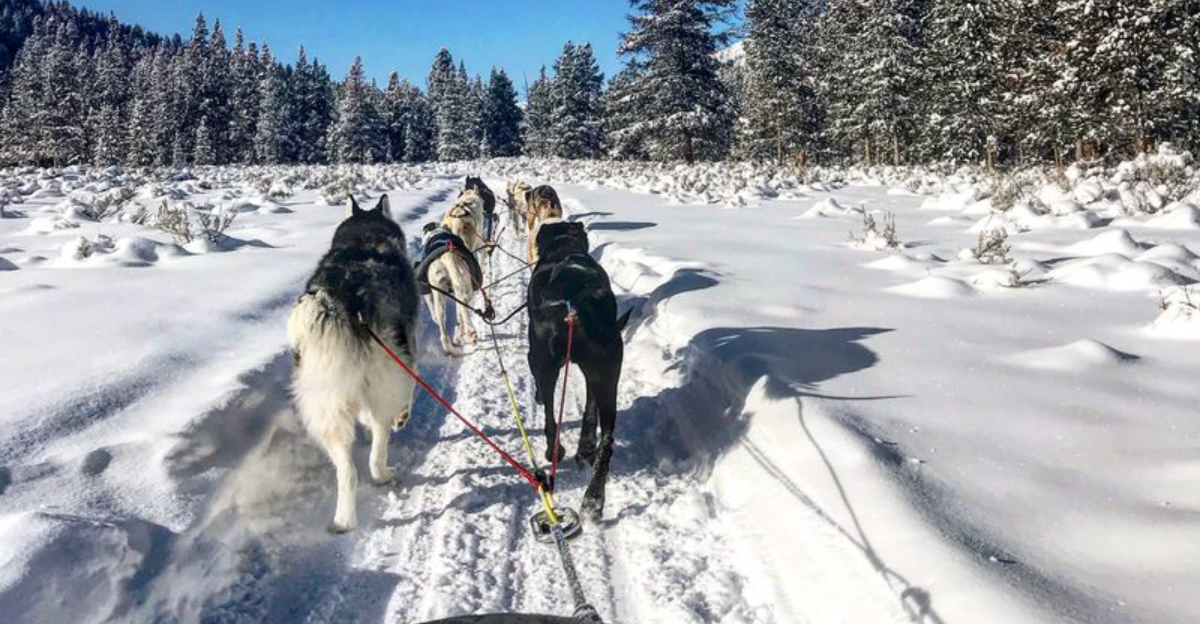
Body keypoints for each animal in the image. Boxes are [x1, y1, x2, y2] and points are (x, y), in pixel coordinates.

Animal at [287, 195, 418, 532]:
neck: (363, 238)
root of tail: (342, 298)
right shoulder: (408, 350)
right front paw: (402, 416)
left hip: (325, 406)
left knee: (347, 471)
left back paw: (343, 520)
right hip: (385, 378)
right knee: (377, 449)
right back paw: (383, 473)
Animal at [415, 222, 484, 354]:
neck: (436, 232)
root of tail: (447, 255)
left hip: (440, 297)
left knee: (444, 333)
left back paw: (452, 346)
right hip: (464, 287)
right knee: (461, 312)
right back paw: (467, 333)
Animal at [527, 220, 631, 519]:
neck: (565, 247)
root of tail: (576, 307)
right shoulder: (595, 372)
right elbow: (589, 409)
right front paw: (585, 446)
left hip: (545, 364)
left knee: (551, 421)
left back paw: (555, 451)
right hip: (607, 373)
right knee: (606, 442)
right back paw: (594, 498)